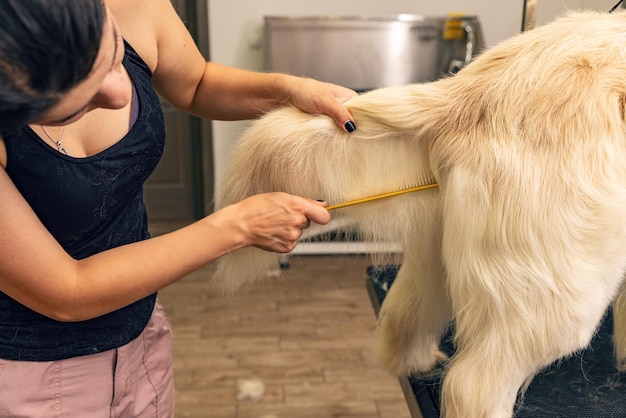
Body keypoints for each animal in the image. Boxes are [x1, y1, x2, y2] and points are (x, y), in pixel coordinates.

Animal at [212, 11, 624, 416]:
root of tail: (469, 93)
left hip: (440, 251)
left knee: (402, 313)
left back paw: (416, 361)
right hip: (561, 293)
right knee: (472, 385)